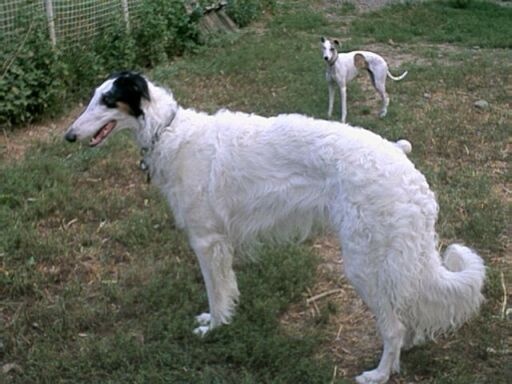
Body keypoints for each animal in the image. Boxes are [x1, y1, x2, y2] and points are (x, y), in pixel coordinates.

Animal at [64, 70, 484, 382]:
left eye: (107, 100)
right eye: (93, 97)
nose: (68, 136)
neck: (168, 132)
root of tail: (409, 172)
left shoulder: (207, 241)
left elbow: (217, 294)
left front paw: (214, 328)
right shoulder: (218, 243)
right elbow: (227, 291)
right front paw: (218, 322)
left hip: (365, 265)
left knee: (393, 327)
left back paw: (379, 373)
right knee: (404, 315)